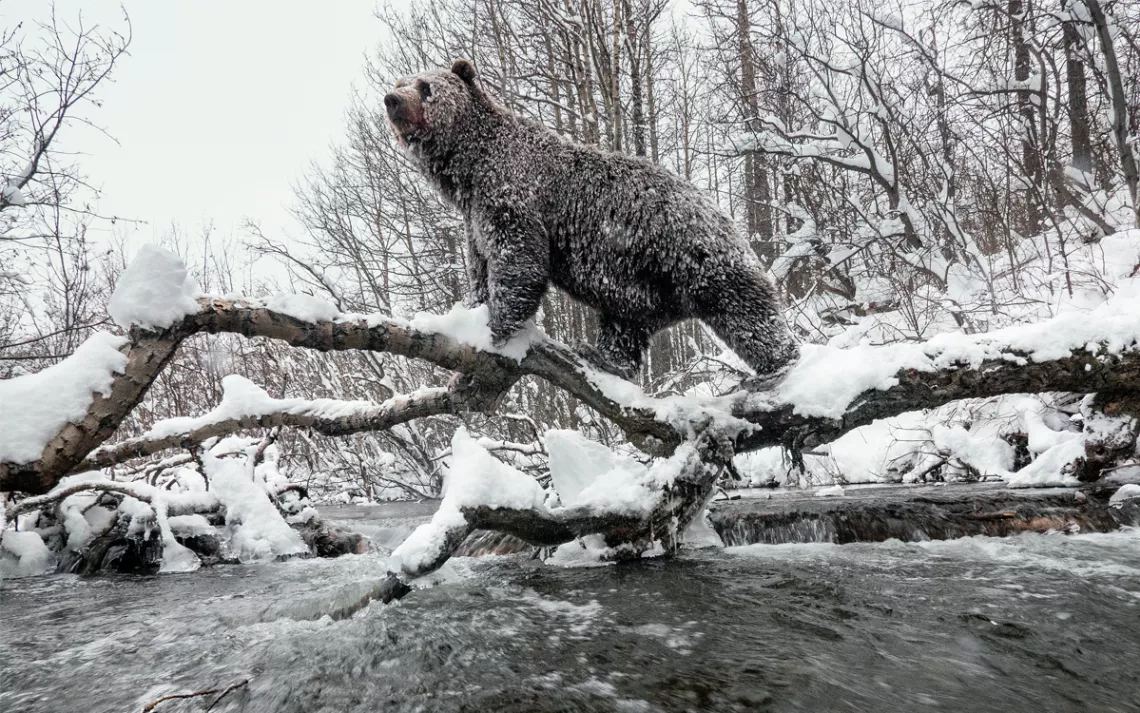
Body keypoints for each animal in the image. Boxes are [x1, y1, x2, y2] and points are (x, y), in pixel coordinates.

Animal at [383, 59, 793, 385]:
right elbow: (481, 267)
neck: (469, 170)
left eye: (425, 87)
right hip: (638, 288)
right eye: (402, 80)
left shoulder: (514, 197)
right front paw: (474, 310)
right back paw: (603, 358)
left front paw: (494, 329)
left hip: (696, 257)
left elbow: (521, 261)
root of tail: (727, 218)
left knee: (750, 317)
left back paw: (782, 365)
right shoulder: (474, 219)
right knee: (624, 329)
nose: (392, 99)